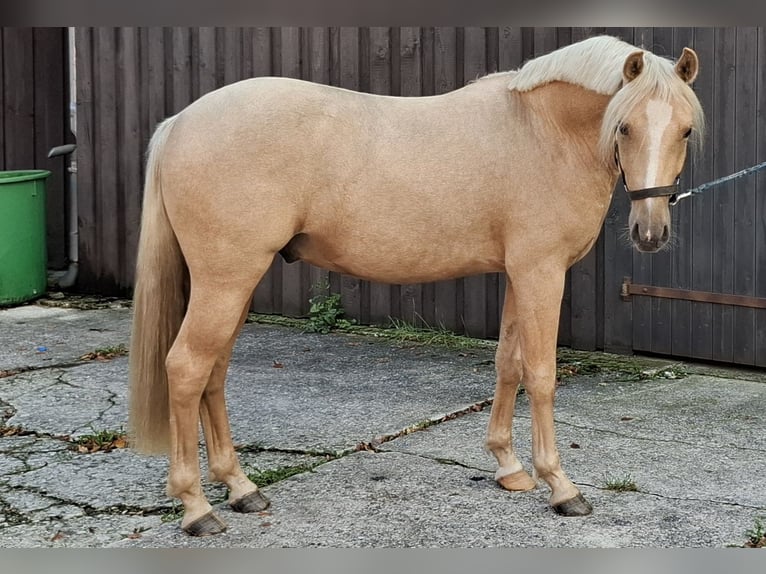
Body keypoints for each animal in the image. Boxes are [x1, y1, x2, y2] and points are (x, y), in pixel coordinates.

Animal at [129, 36, 704, 536]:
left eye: (685, 131)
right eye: (624, 127)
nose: (650, 233)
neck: (541, 131)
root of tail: (180, 122)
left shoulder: (518, 273)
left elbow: (508, 363)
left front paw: (509, 468)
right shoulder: (541, 272)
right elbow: (540, 375)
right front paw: (561, 487)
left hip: (236, 283)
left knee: (214, 372)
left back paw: (241, 488)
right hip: (225, 281)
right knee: (187, 369)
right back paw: (197, 507)